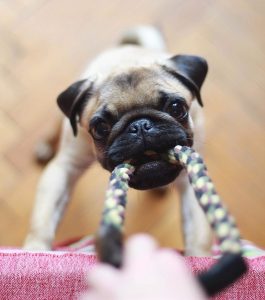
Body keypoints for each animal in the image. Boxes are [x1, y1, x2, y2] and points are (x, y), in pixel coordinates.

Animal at [23, 25, 211, 255]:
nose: (140, 125)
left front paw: (200, 258)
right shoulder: (66, 167)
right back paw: (45, 146)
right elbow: (43, 218)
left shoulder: (191, 178)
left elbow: (198, 231)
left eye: (177, 108)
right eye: (100, 128)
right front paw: (35, 249)